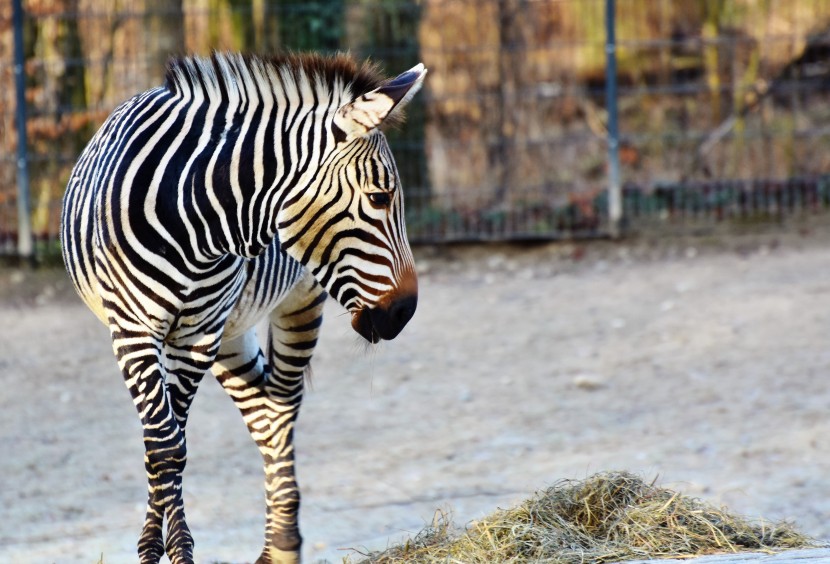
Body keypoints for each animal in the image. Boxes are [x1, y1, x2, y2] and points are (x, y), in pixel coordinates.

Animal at [59, 53, 428, 564]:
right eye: (380, 197)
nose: (404, 312)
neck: (193, 217)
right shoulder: (134, 330)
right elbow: (163, 443)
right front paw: (157, 549)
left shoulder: (197, 334)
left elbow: (175, 441)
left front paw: (177, 550)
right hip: (230, 334)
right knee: (261, 413)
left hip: (292, 306)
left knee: (281, 414)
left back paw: (283, 544)